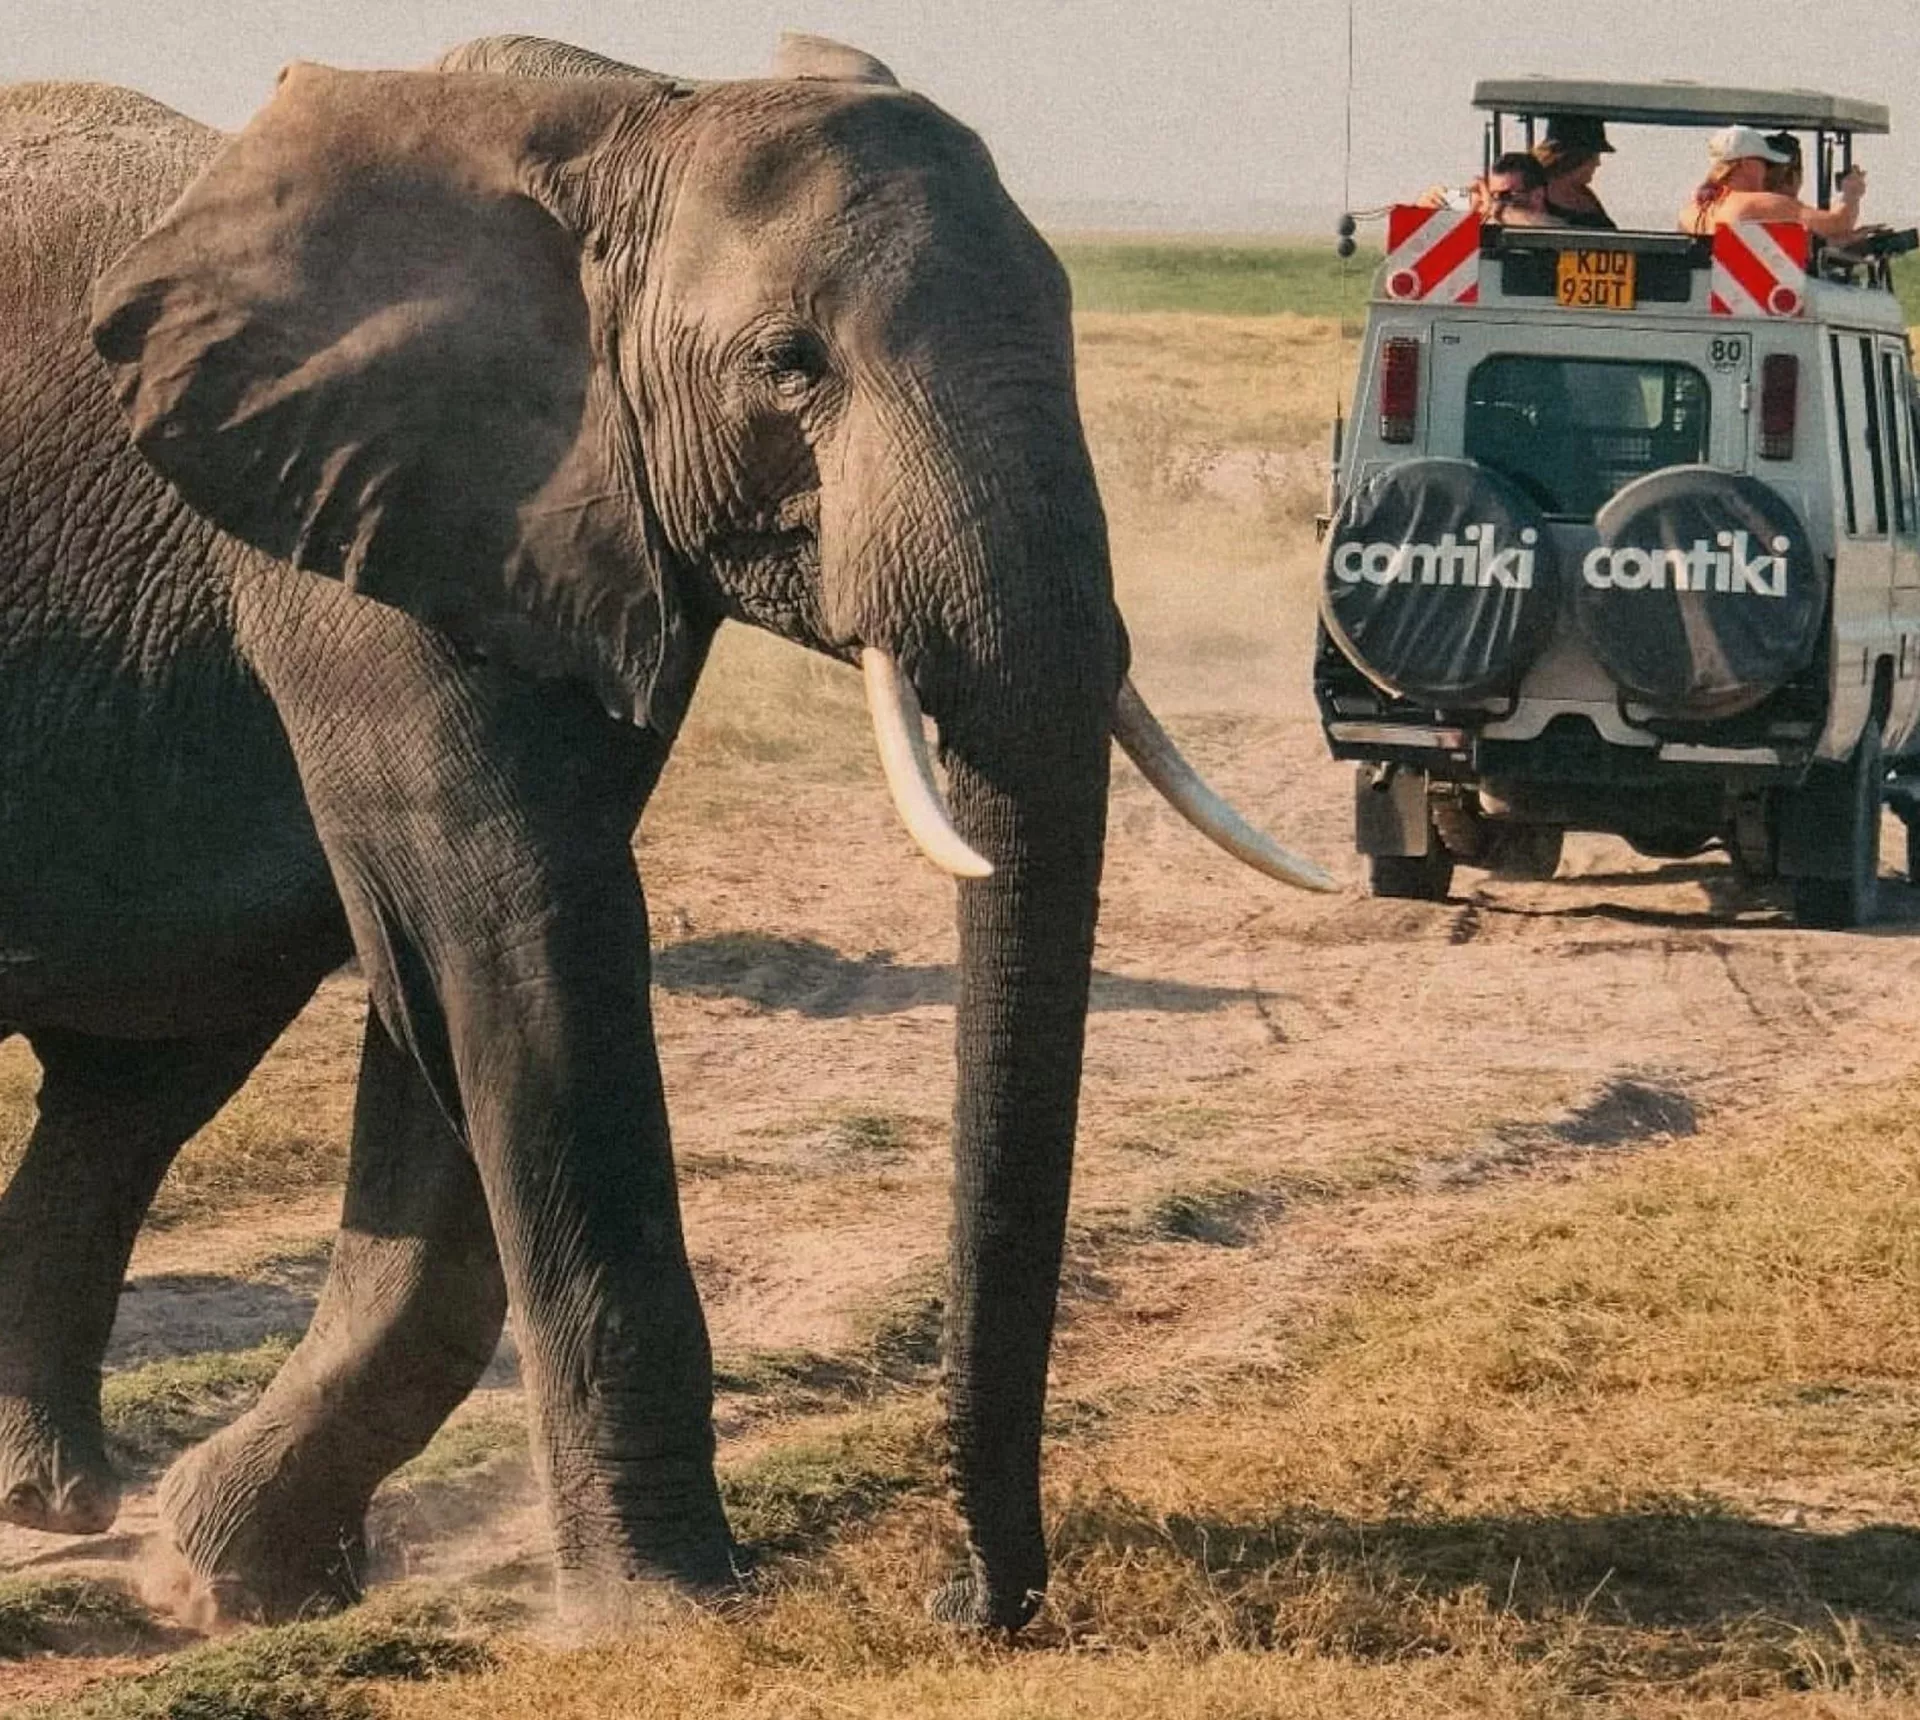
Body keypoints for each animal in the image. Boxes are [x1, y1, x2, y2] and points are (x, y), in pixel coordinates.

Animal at [0, 34, 1329, 1629]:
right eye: (787, 363)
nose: (969, 1605)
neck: (624, 121)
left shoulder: (536, 534)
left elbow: (480, 973)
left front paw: (234, 1569)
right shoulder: (365, 539)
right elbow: (514, 932)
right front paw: (672, 1606)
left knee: (133, 1083)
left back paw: (51, 1499)